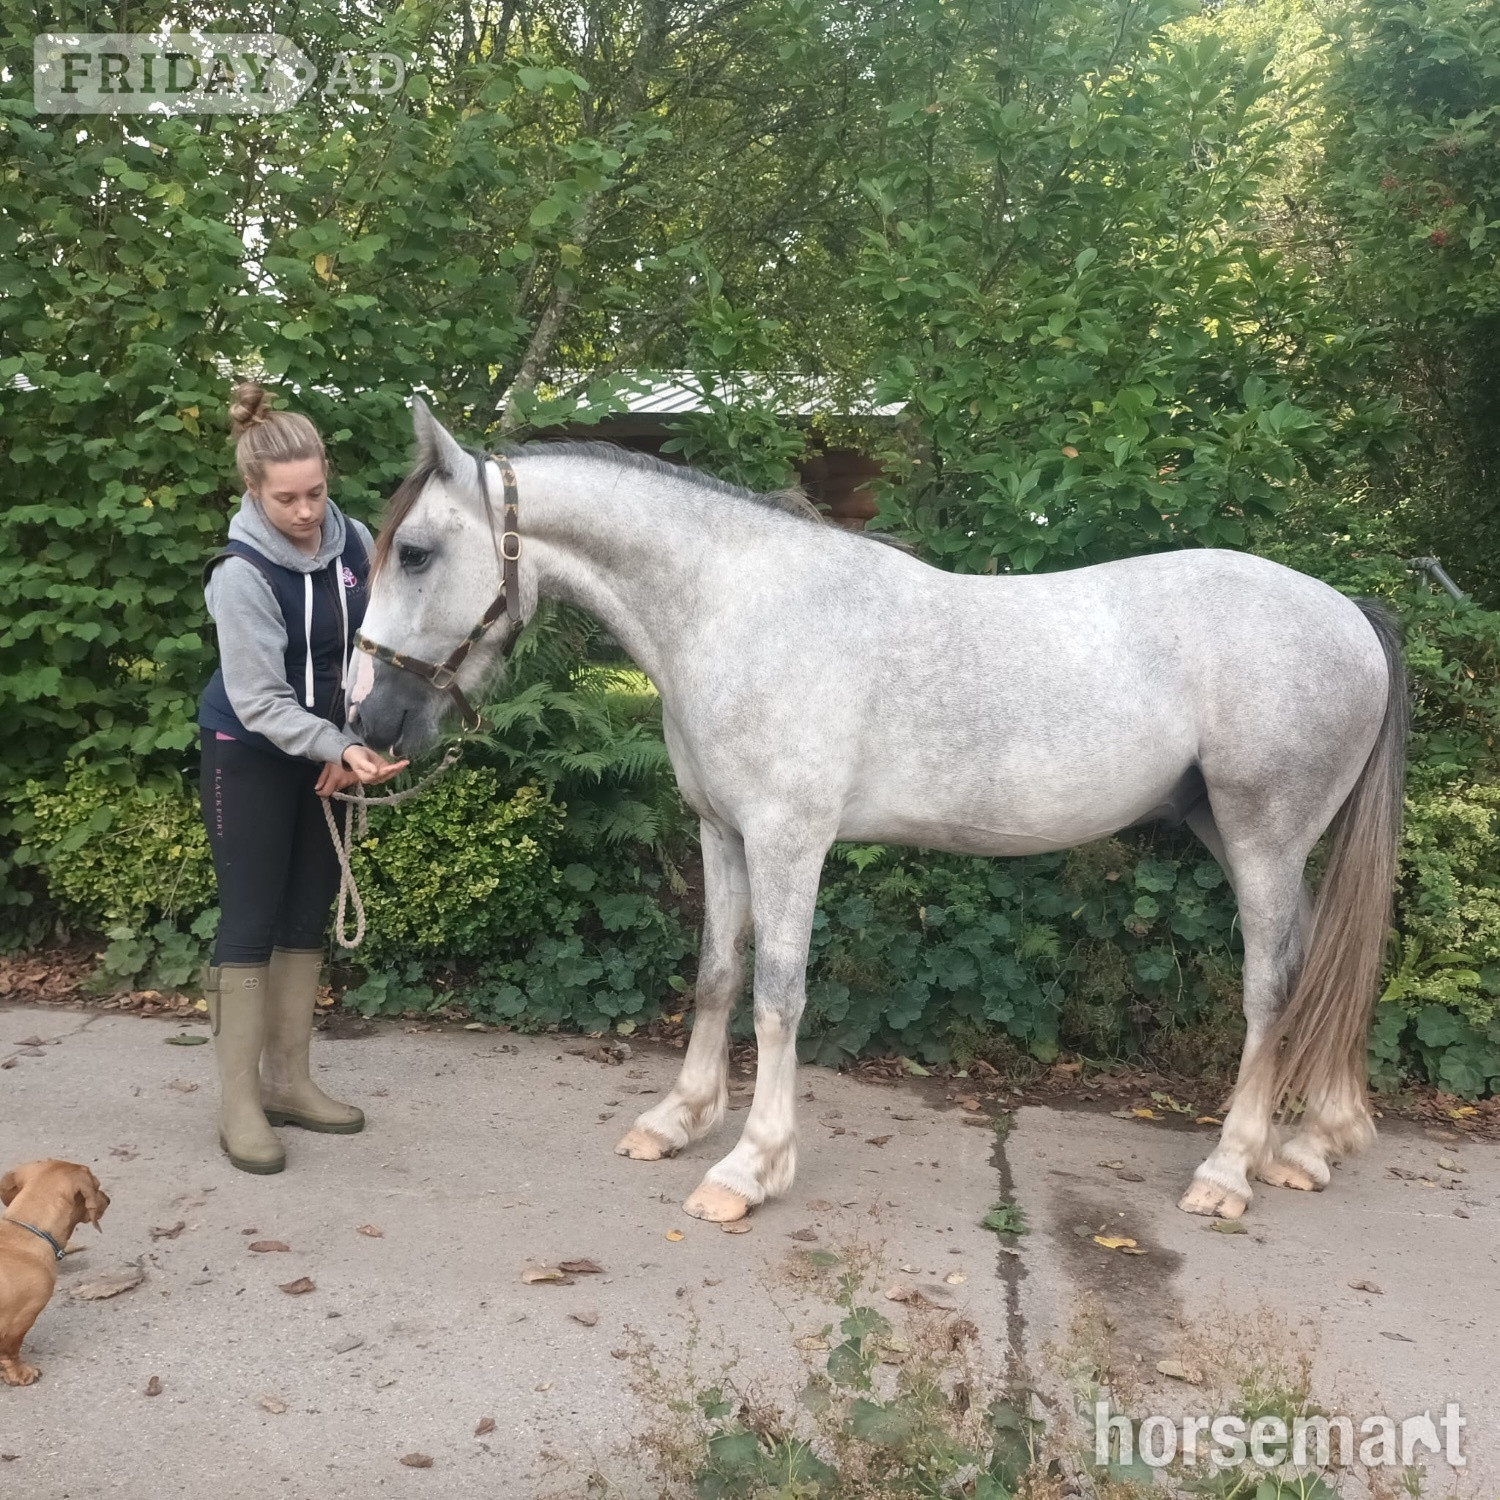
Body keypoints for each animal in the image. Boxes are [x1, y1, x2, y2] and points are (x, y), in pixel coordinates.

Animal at [347, 397, 1406, 1224]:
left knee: (1271, 987)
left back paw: (1230, 1171)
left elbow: (778, 996)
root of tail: (1349, 613)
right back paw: (1311, 1144)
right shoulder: (721, 833)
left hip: (1264, 839)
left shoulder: (788, 840)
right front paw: (677, 1121)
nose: (369, 718)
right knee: (1321, 963)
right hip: (1235, 836)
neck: (740, 609)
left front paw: (750, 1167)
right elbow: (716, 975)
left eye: (416, 552)